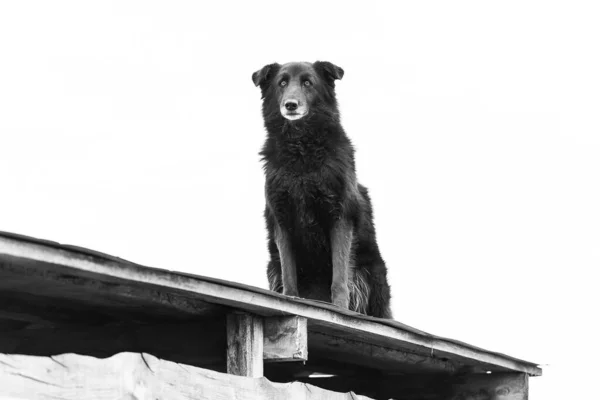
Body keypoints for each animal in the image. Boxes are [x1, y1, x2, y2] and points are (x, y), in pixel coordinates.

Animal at [253, 61, 394, 318]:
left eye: (308, 83)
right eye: (282, 83)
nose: (290, 104)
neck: (301, 153)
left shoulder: (340, 217)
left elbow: (339, 274)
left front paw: (339, 308)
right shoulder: (281, 220)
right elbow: (289, 273)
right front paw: (291, 300)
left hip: (374, 275)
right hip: (272, 266)